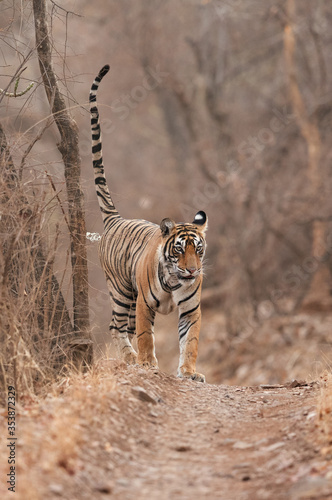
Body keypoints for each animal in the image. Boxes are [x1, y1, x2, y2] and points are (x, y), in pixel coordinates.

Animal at [89, 64, 208, 380]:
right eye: (179, 249)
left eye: (198, 249)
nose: (192, 271)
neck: (176, 279)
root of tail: (115, 219)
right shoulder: (144, 303)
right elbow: (146, 335)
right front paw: (147, 364)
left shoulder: (191, 310)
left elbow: (190, 341)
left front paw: (189, 372)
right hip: (121, 293)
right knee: (116, 326)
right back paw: (131, 359)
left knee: (123, 328)